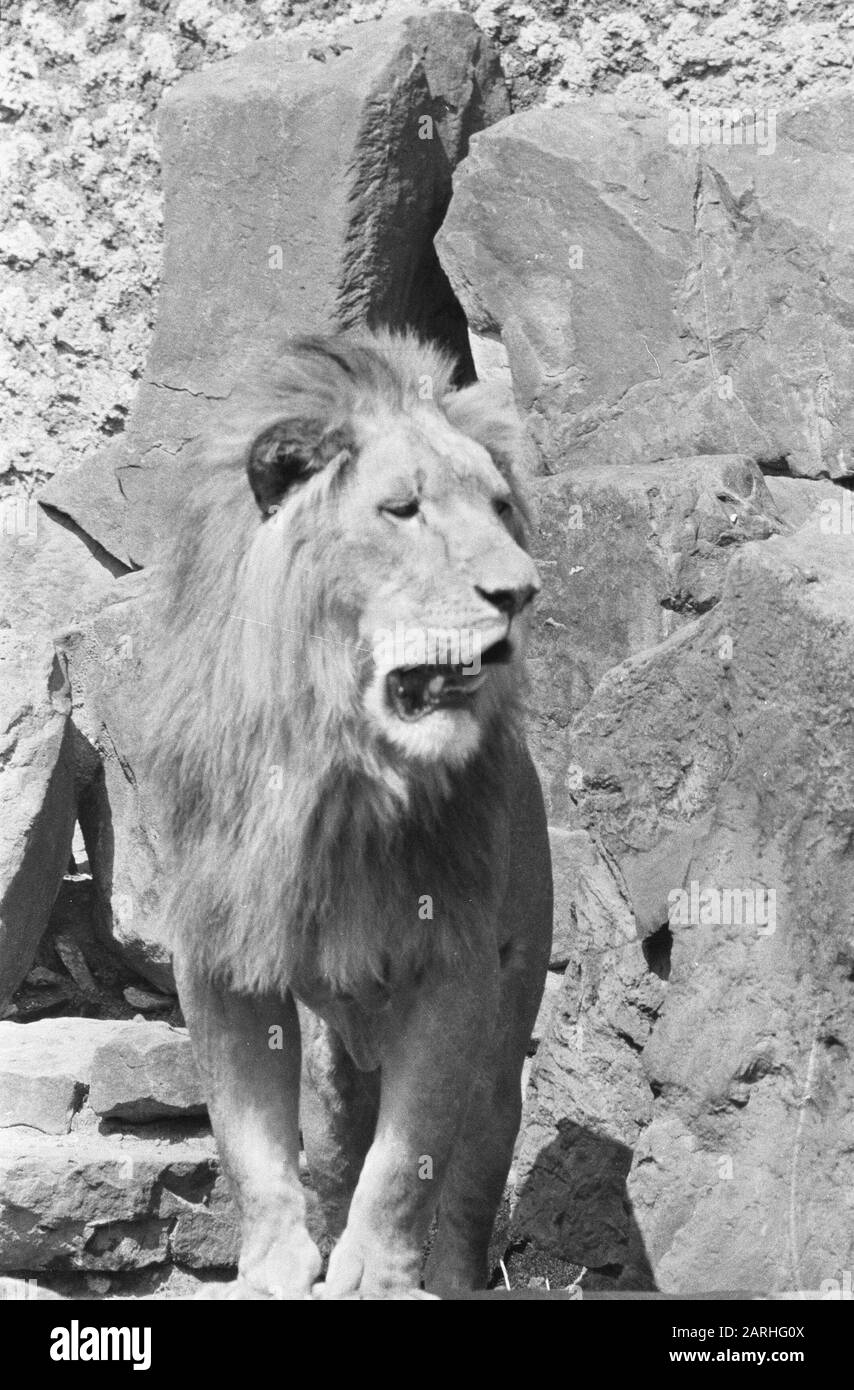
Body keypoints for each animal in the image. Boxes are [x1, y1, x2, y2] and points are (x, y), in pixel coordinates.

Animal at [149, 330, 556, 1295]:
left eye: (500, 509)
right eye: (402, 510)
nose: (521, 592)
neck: (334, 770)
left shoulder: (455, 960)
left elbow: (409, 1160)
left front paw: (375, 1275)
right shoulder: (218, 946)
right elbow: (247, 1135)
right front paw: (273, 1266)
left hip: (506, 1028)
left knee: (472, 1169)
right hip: (336, 1070)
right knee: (333, 1148)